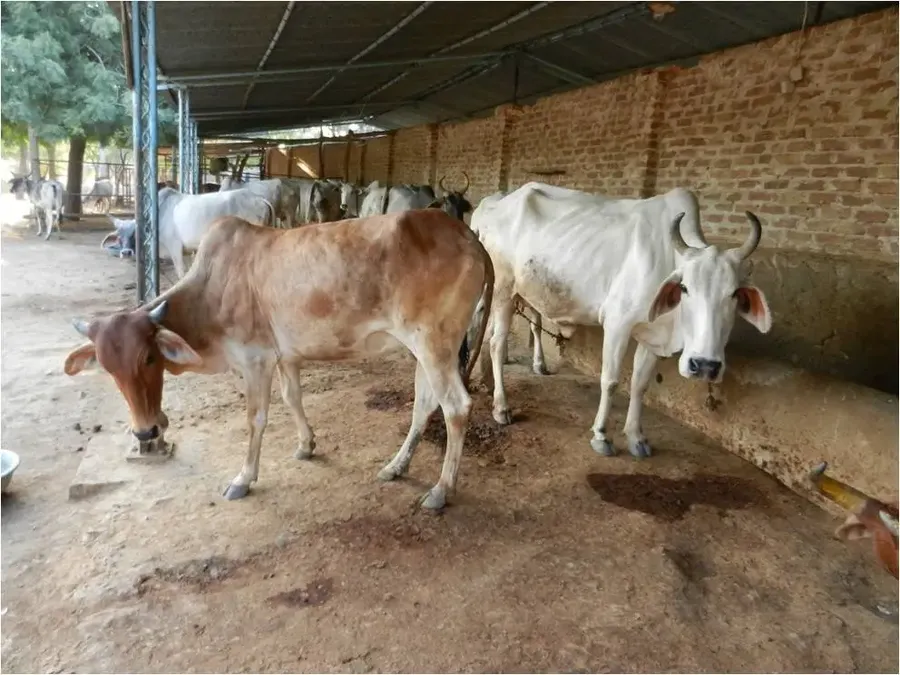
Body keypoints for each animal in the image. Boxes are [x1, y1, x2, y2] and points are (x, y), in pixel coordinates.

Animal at [63, 209, 494, 510]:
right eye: (109, 369)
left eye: (149, 358)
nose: (145, 432)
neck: (210, 291)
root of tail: (469, 237)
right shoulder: (285, 357)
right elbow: (293, 398)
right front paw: (307, 445)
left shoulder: (255, 360)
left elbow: (256, 418)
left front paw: (243, 478)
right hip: (427, 351)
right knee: (425, 404)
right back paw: (395, 467)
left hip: (434, 345)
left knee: (456, 406)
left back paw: (441, 490)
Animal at [468, 182, 772, 459]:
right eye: (685, 287)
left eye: (734, 294)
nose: (705, 366)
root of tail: (493, 207)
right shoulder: (617, 324)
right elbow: (611, 380)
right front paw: (601, 436)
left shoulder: (651, 336)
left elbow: (640, 384)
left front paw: (636, 437)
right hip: (504, 290)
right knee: (496, 343)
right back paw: (501, 406)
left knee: (487, 333)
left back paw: (486, 382)